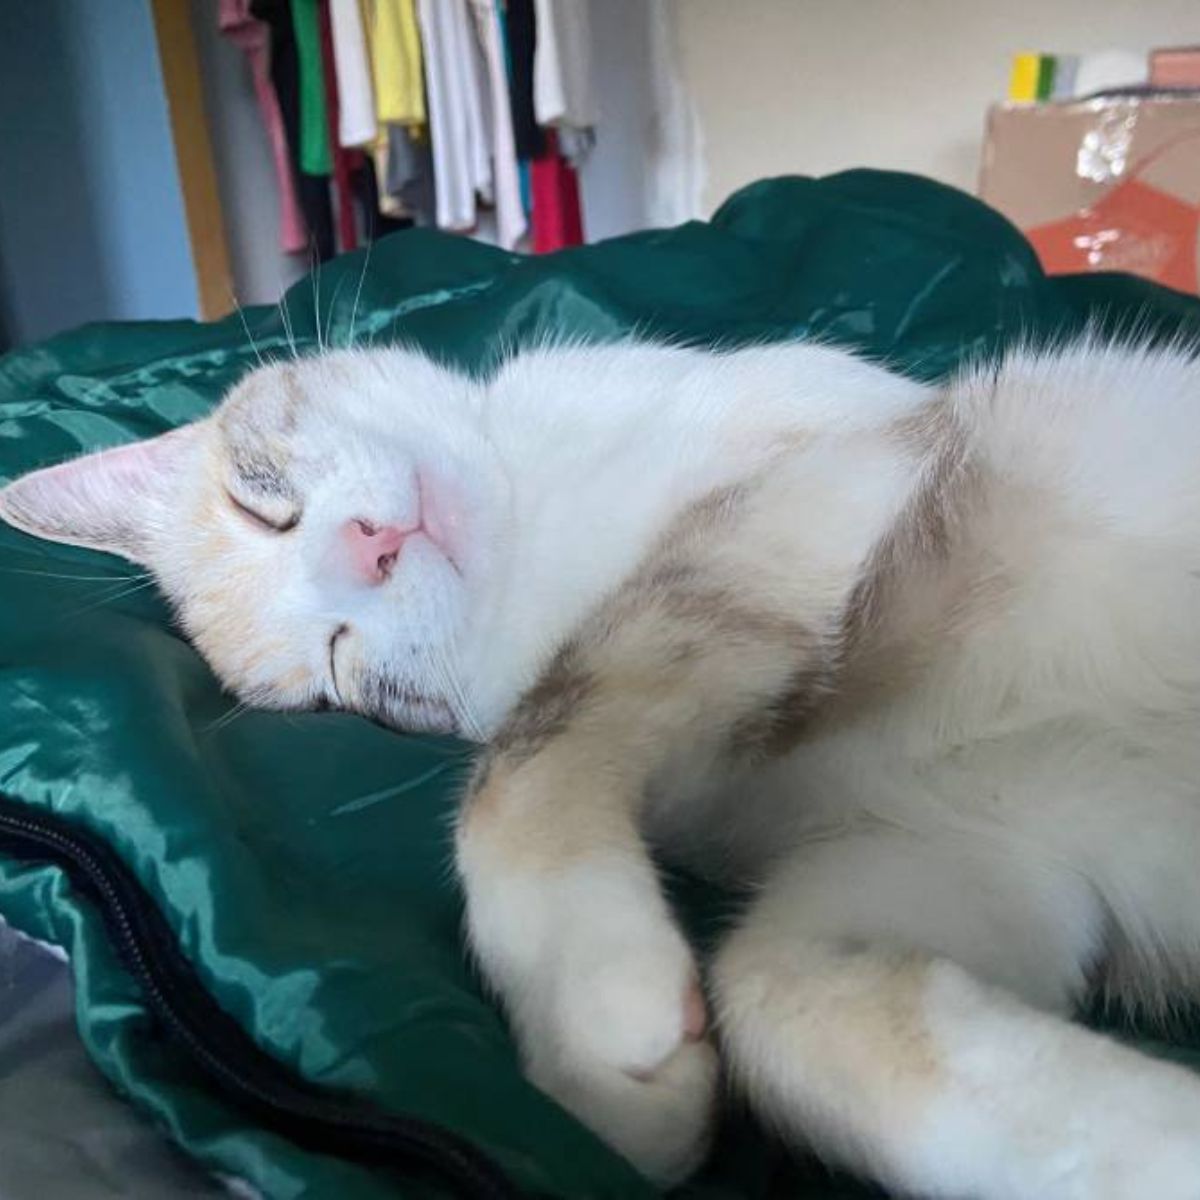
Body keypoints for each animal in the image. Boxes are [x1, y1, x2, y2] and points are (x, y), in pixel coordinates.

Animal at [2, 340, 1200, 1200]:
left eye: (262, 501)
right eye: (336, 684)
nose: (370, 550)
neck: (547, 536)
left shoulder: (839, 465)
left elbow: (530, 747)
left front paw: (584, 990)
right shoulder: (969, 852)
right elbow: (780, 997)